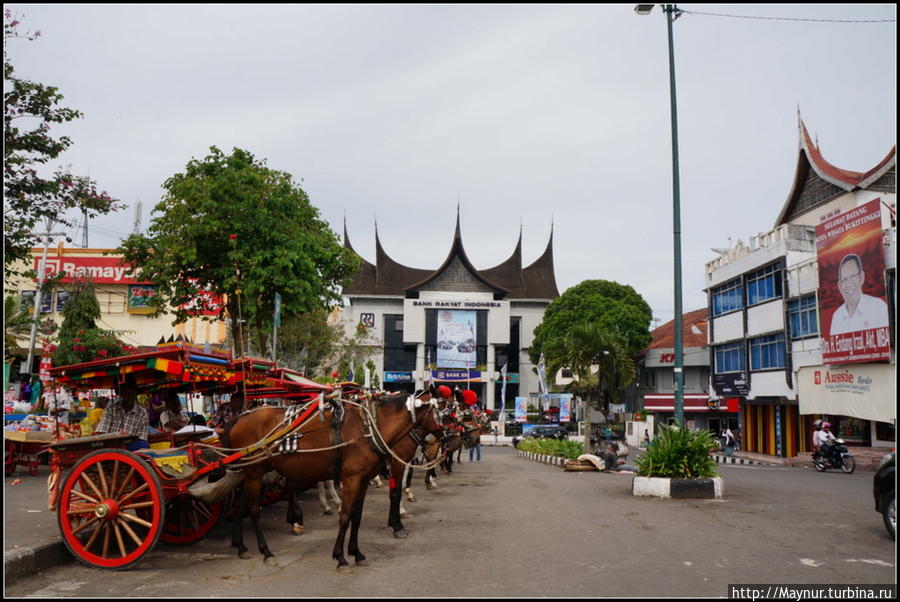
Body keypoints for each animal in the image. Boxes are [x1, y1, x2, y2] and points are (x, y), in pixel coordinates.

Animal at [225, 384, 442, 568]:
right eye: (443, 410)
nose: (445, 437)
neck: (369, 427)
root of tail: (239, 418)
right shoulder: (353, 478)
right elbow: (346, 516)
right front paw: (340, 556)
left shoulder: (363, 479)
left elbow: (357, 516)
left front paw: (356, 552)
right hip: (255, 473)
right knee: (254, 509)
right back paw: (266, 551)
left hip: (246, 474)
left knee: (238, 507)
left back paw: (241, 546)